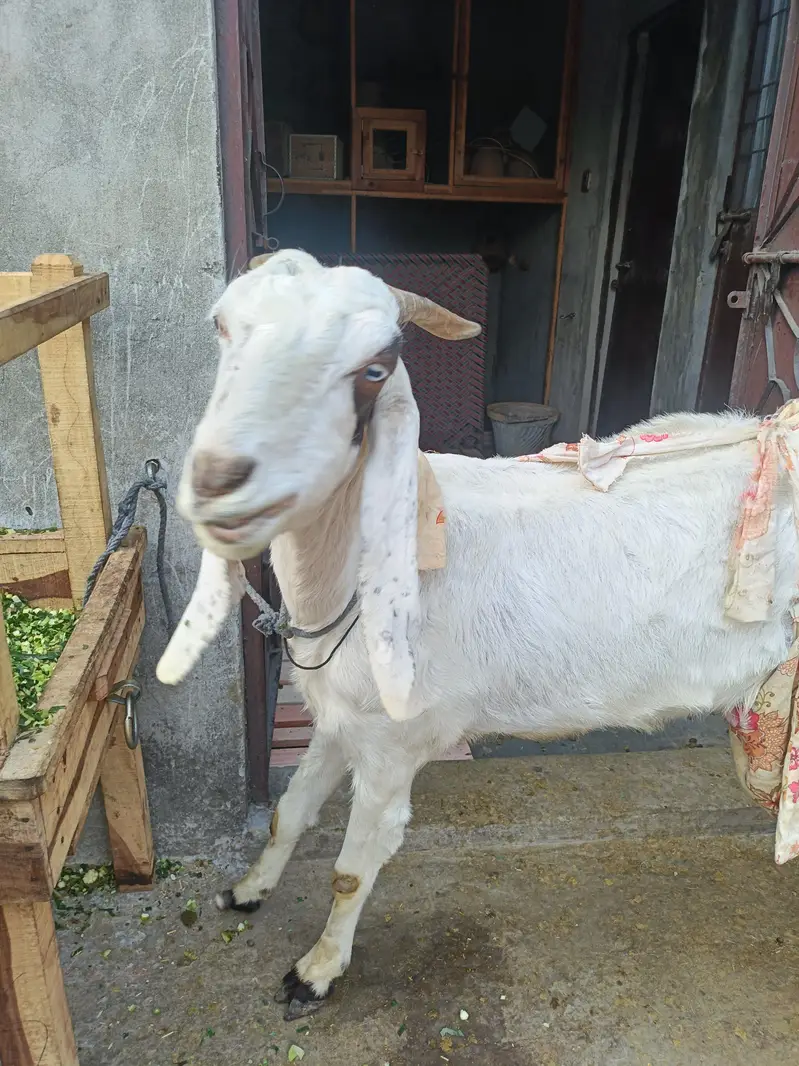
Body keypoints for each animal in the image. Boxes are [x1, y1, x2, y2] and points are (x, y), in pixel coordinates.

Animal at [161, 248, 797, 1019]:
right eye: (223, 327)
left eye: (376, 367)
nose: (218, 480)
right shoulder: (341, 720)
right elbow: (288, 812)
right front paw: (248, 891)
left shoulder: (394, 744)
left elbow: (350, 871)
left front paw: (315, 972)